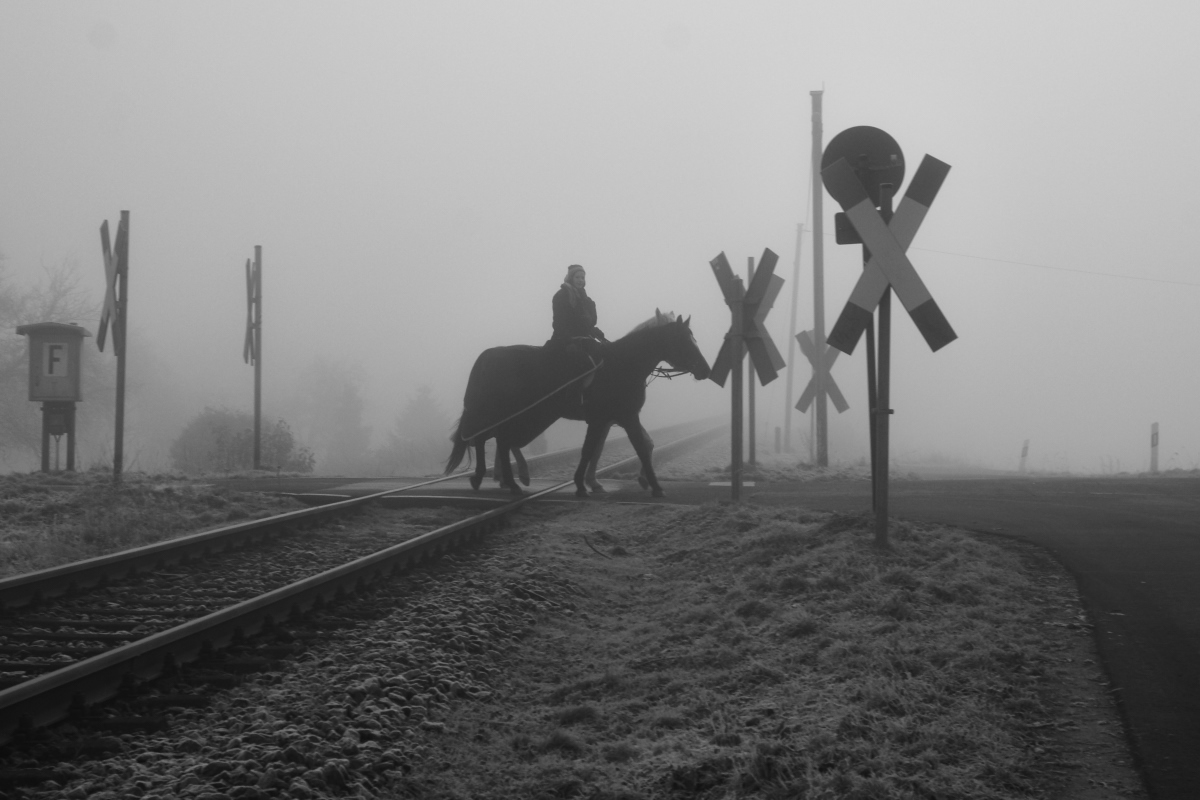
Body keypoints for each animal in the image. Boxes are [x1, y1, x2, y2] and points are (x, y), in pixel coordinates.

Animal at [446, 311, 705, 494]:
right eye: (684, 339)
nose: (704, 368)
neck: (623, 363)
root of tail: (488, 355)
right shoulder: (623, 416)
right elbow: (634, 447)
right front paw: (655, 486)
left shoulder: (607, 419)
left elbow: (597, 449)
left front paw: (586, 482)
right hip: (501, 412)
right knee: (490, 438)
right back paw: (501, 478)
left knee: (493, 440)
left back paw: (496, 478)